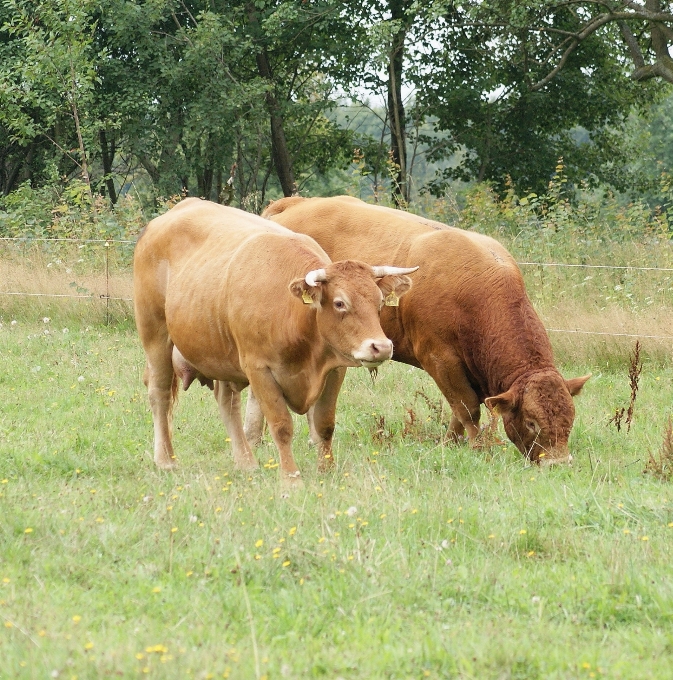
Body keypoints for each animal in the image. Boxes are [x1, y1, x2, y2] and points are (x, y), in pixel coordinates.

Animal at [132, 197, 414, 484]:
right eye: (339, 303)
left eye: (379, 302)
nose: (381, 347)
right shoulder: (259, 369)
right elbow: (281, 426)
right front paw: (291, 477)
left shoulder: (335, 369)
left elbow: (324, 424)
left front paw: (327, 471)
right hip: (155, 334)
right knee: (159, 393)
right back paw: (166, 460)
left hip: (221, 352)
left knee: (227, 402)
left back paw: (245, 462)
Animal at [251, 194, 588, 464]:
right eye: (532, 422)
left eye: (570, 419)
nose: (558, 464)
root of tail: (295, 203)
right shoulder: (440, 358)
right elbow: (467, 408)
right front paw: (478, 450)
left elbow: (458, 413)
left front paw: (452, 444)